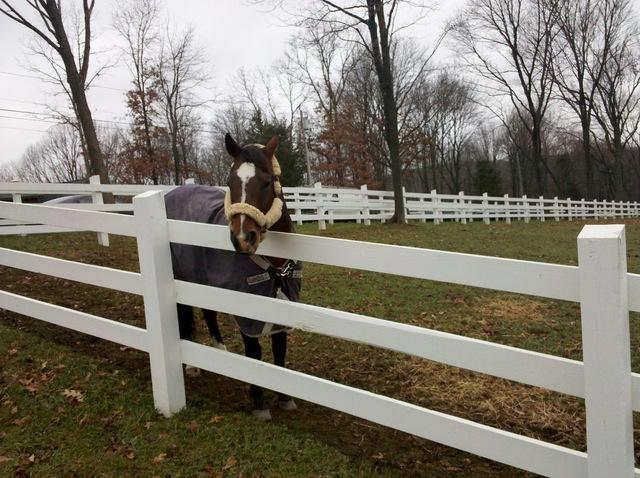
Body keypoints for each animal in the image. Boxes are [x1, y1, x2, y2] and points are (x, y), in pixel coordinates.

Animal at [166, 133, 304, 420]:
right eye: (229, 183)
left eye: (266, 182)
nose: (242, 238)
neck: (275, 265)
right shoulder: (246, 311)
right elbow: (254, 353)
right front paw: (259, 403)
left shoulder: (283, 304)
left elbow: (280, 349)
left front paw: (285, 397)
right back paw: (192, 366)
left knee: (209, 312)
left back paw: (219, 351)